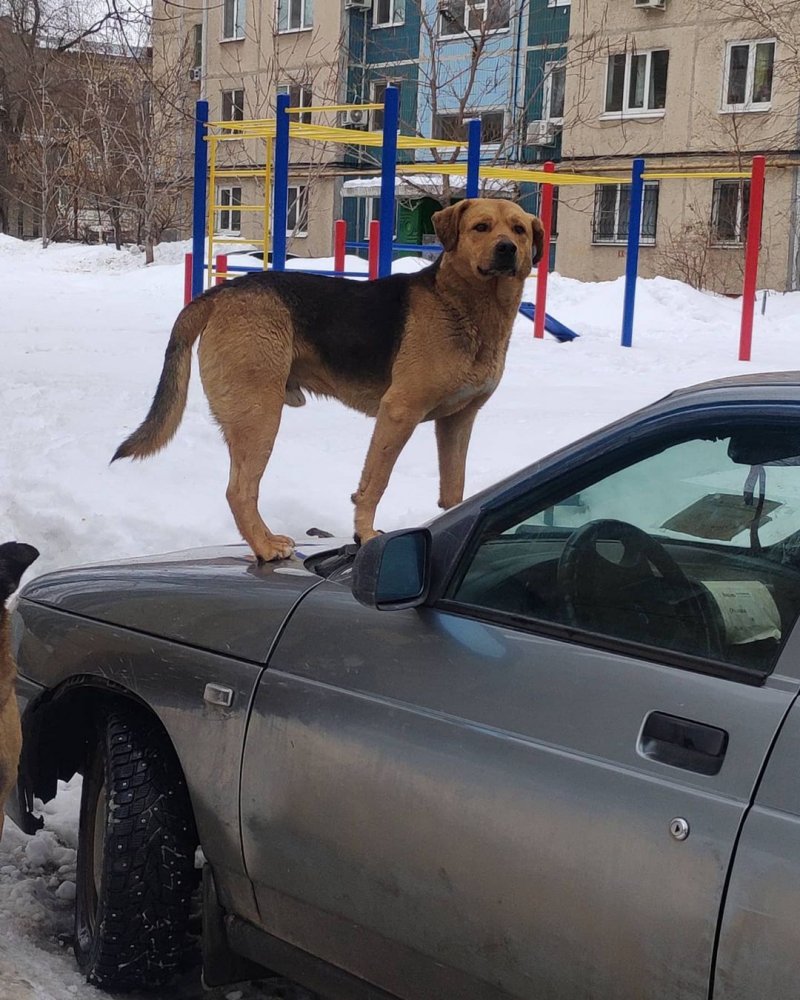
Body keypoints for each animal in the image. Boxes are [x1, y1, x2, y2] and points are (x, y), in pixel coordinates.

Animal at [112, 195, 548, 564]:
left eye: (519, 230)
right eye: (481, 227)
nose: (507, 249)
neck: (466, 306)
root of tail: (221, 293)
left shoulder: (458, 421)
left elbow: (454, 490)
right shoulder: (398, 413)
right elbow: (374, 483)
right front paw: (366, 536)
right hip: (259, 415)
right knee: (239, 491)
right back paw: (266, 547)